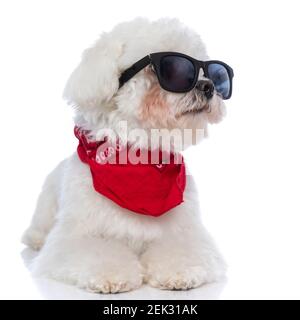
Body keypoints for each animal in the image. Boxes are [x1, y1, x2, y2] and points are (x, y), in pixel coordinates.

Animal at [22, 16, 233, 292]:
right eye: (172, 70)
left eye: (211, 74)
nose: (208, 86)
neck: (139, 161)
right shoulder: (72, 239)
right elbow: (93, 251)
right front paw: (109, 274)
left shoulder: (185, 232)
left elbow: (184, 249)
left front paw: (181, 270)